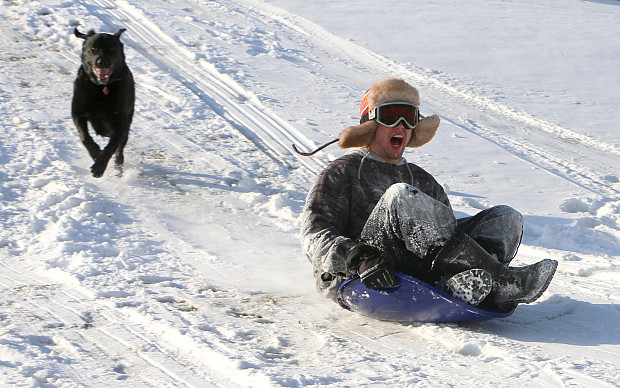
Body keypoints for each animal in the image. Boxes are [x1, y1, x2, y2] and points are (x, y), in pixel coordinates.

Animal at [72, 28, 136, 178]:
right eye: (93, 48)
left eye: (112, 48)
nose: (102, 62)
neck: (101, 88)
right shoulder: (77, 112)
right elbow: (85, 137)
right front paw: (96, 153)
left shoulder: (120, 123)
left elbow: (111, 147)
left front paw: (99, 167)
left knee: (119, 149)